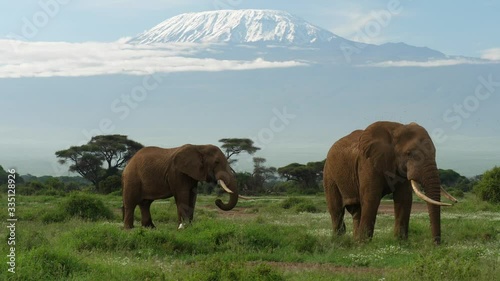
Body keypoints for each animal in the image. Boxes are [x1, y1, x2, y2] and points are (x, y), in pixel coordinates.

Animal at [324, 121, 458, 244]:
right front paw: (364, 245)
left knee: (356, 211)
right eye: (408, 153)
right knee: (336, 210)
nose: (436, 245)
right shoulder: (368, 162)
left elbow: (404, 198)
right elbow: (371, 197)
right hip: (329, 175)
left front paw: (401, 243)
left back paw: (354, 241)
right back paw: (339, 242)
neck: (396, 128)